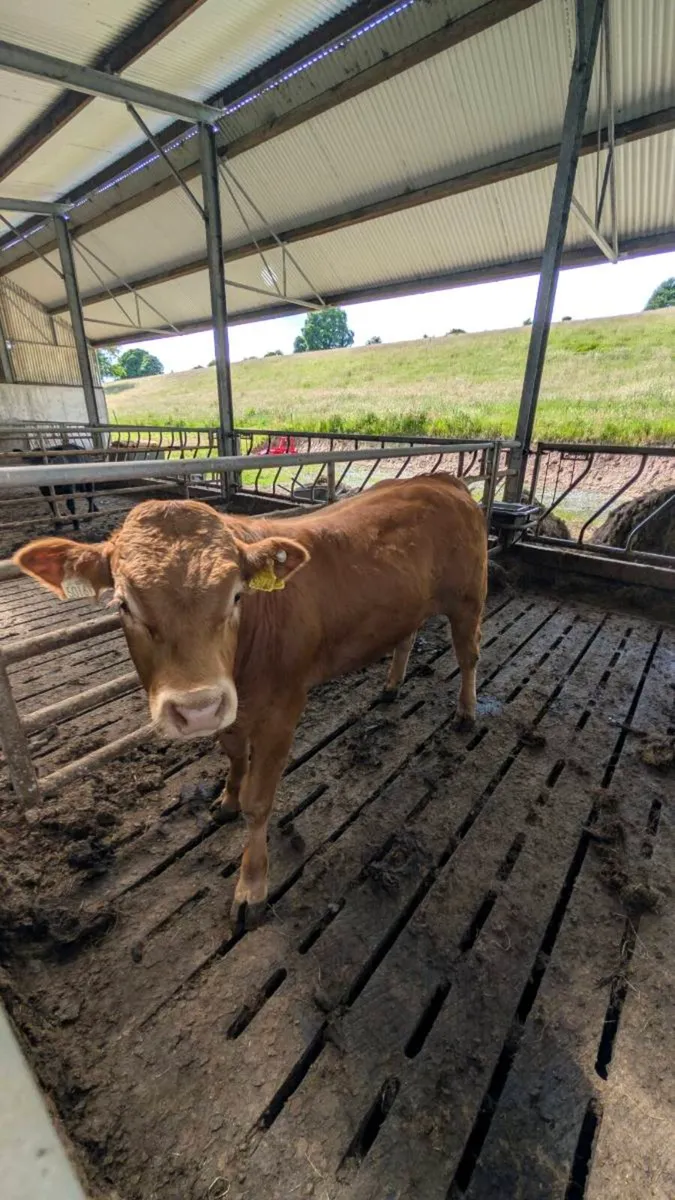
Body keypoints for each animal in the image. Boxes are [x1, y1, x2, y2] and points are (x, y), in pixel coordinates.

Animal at [14, 474, 487, 929]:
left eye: (237, 595)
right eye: (123, 604)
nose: (196, 707)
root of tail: (439, 479)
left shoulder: (282, 711)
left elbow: (259, 804)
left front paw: (251, 886)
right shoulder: (231, 707)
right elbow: (233, 755)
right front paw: (226, 800)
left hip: (468, 601)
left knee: (469, 656)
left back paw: (466, 712)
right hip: (408, 607)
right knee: (406, 636)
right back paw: (392, 685)